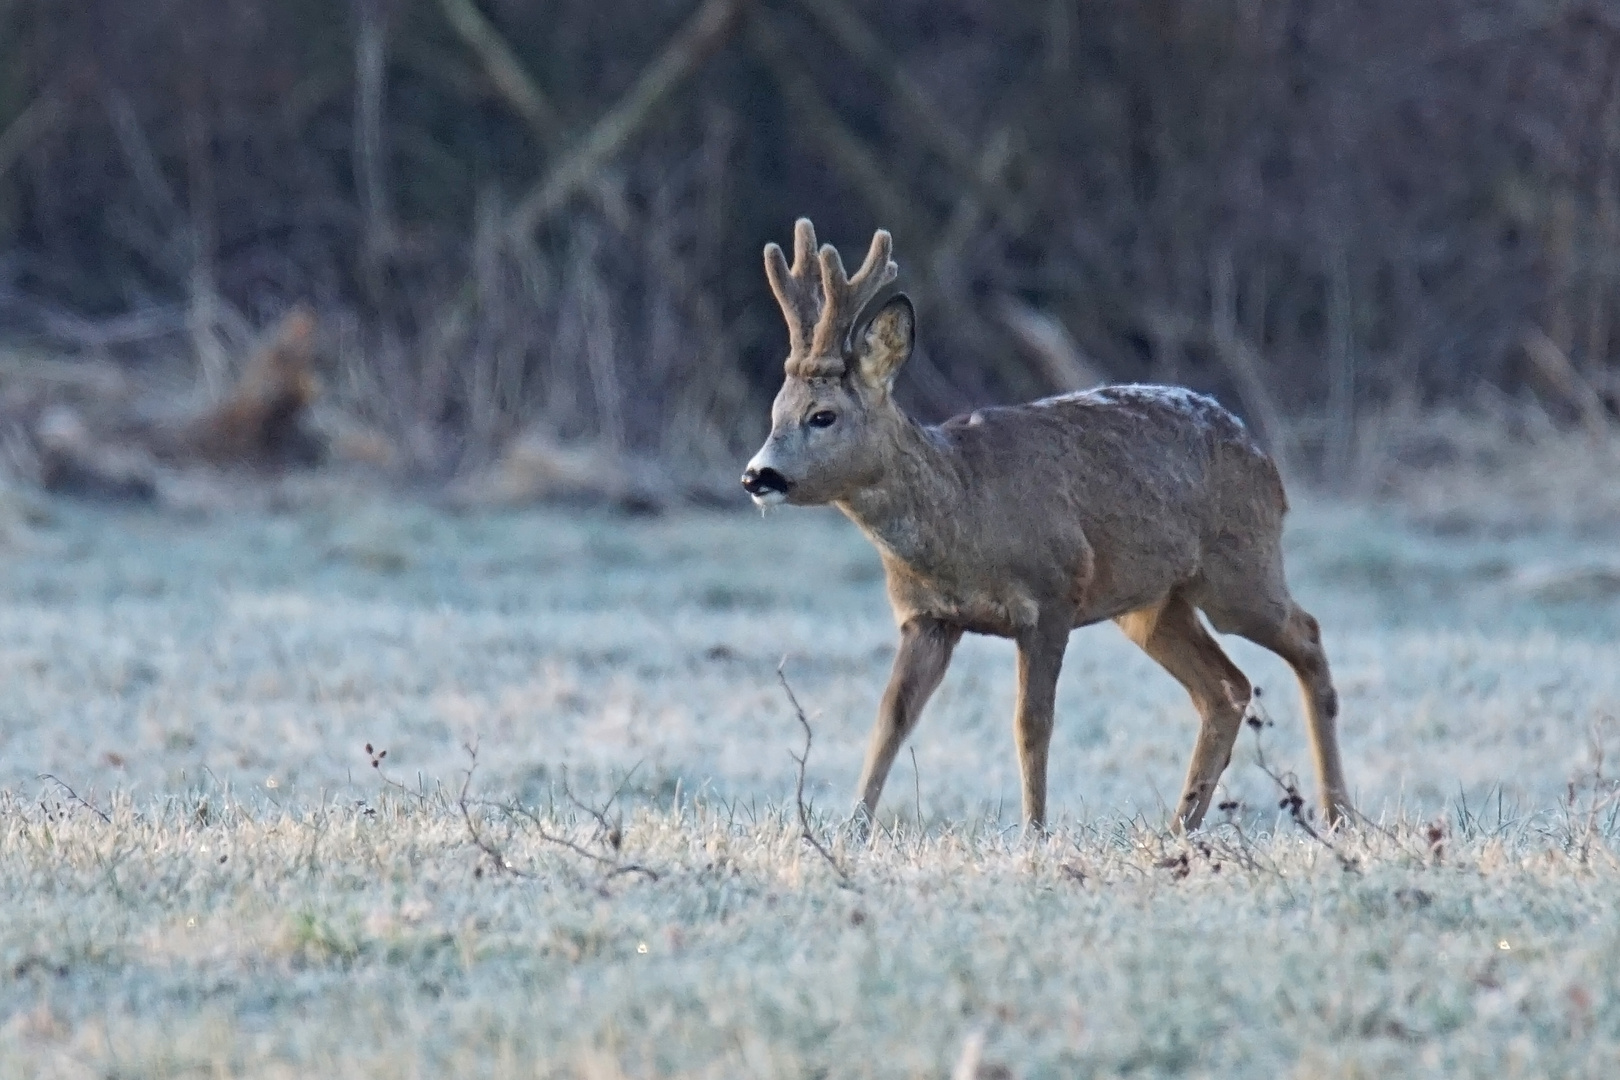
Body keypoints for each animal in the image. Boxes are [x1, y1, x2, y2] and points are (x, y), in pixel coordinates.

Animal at [741, 215, 1347, 835]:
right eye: (775, 412)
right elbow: (891, 720)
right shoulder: (926, 618)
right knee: (1226, 688)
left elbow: (1032, 723)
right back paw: (1181, 826)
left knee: (1306, 636)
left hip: (1239, 567)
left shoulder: (1053, 594)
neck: (964, 513)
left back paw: (1336, 812)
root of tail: (1265, 461)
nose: (757, 476)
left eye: (823, 416)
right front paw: (852, 831)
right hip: (1153, 604)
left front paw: (1034, 831)